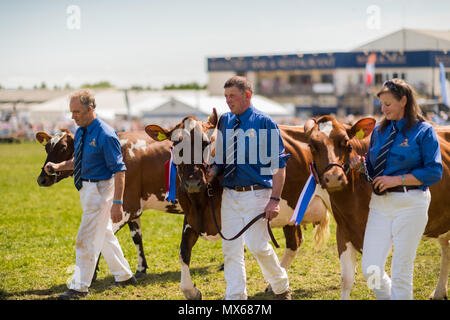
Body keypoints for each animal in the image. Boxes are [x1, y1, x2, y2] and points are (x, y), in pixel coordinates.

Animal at [146, 110, 332, 300]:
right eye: (175, 143)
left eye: (206, 142)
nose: (193, 182)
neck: (200, 200)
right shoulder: (191, 220)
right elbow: (183, 252)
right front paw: (191, 291)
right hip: (290, 213)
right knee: (294, 243)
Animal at [302, 115, 450, 300]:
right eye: (311, 146)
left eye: (347, 143)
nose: (334, 177)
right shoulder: (343, 231)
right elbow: (346, 279)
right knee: (446, 247)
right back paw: (439, 291)